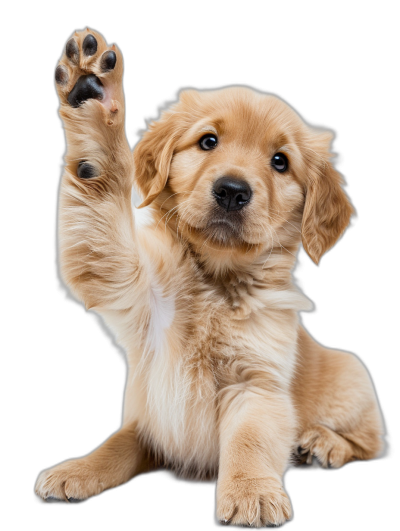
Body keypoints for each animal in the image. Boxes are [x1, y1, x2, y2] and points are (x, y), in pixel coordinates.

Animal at [35, 30, 388, 528]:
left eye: (280, 162)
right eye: (208, 141)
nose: (232, 191)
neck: (216, 282)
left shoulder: (255, 384)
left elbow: (249, 442)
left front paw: (252, 493)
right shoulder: (126, 288)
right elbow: (116, 445)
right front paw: (94, 95)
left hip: (353, 379)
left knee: (369, 441)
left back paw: (323, 444)